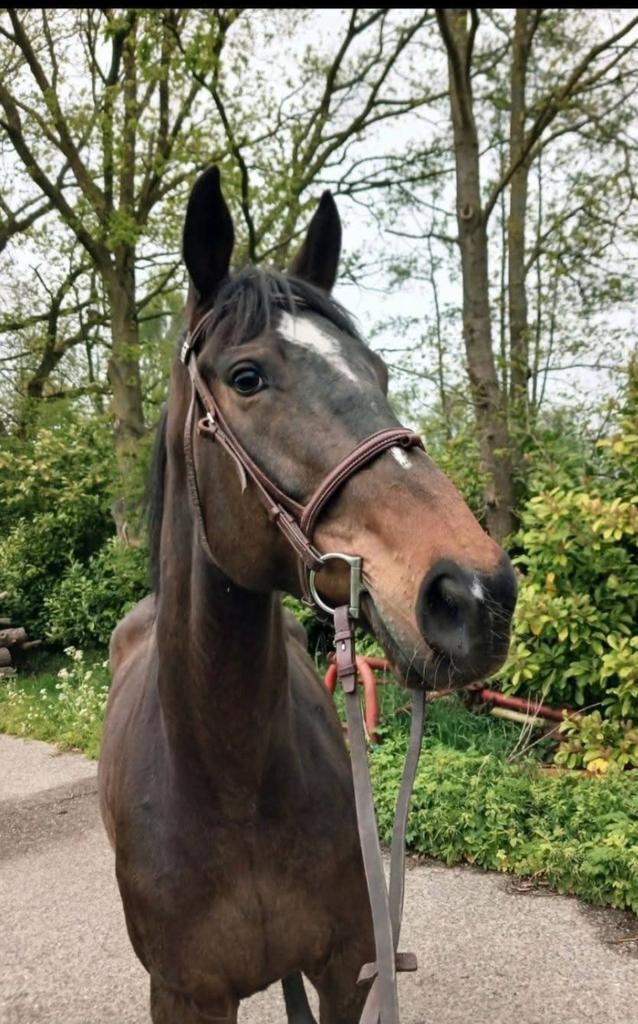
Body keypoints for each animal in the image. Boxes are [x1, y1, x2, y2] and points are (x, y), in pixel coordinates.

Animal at [98, 166, 517, 1024]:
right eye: (247, 377)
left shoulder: (346, 971)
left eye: (379, 374)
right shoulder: (184, 998)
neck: (228, 786)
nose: (475, 593)